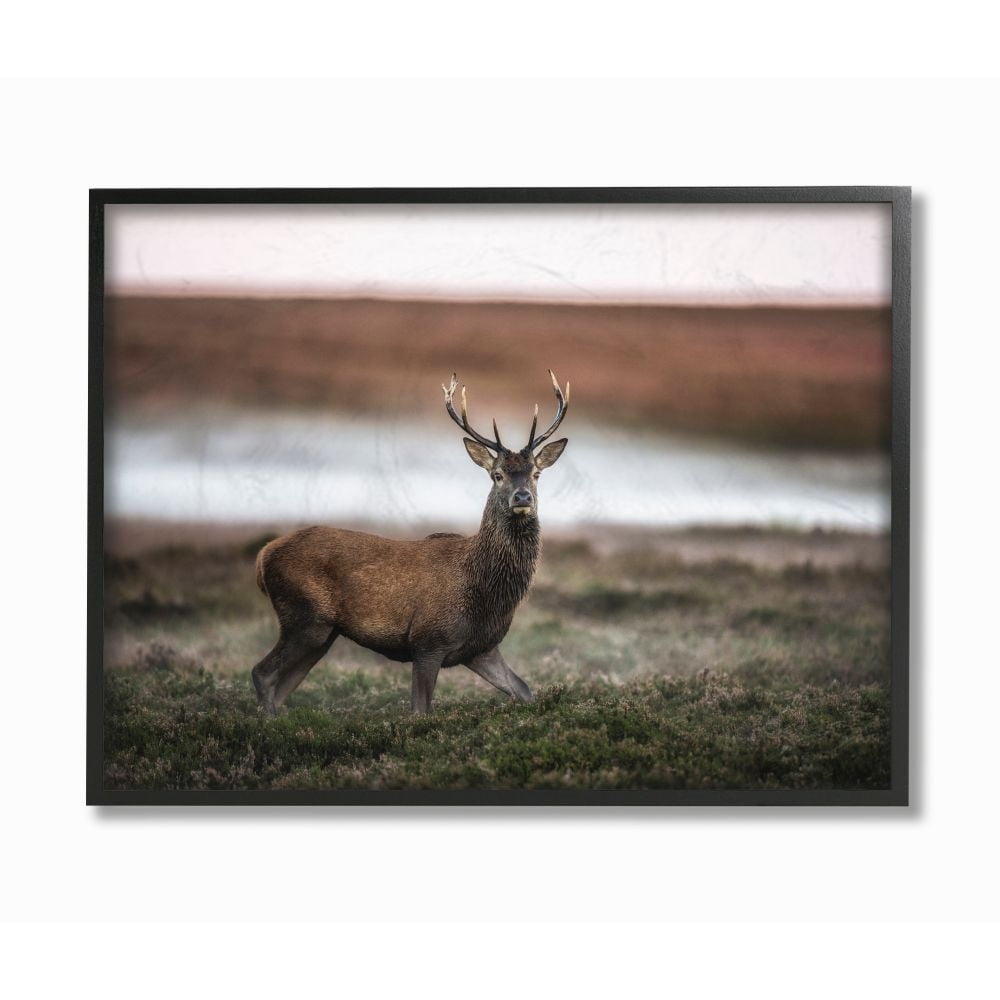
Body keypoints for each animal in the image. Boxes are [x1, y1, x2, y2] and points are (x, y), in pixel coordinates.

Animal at [251, 370, 570, 715]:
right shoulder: (428, 640)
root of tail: (262, 556)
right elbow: (419, 711)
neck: (486, 591)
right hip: (304, 616)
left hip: (322, 633)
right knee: (262, 673)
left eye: (536, 474)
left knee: (282, 685)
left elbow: (524, 690)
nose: (522, 497)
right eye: (497, 475)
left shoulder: (481, 648)